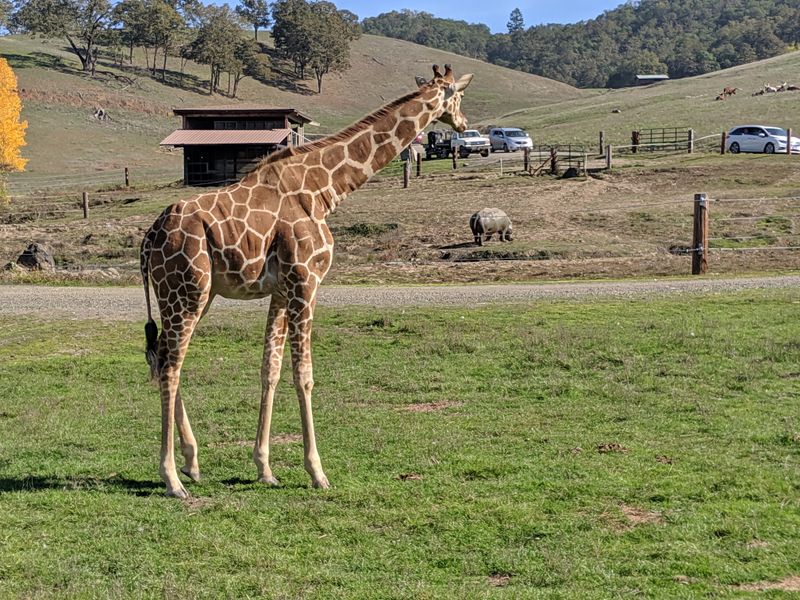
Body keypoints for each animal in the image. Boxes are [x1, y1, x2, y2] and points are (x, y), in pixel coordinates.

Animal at [140, 64, 474, 498]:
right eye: (458, 96)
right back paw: (172, 478)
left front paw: (264, 467)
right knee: (170, 365)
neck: (325, 190)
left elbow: (270, 369)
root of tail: (149, 237)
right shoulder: (306, 280)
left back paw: (192, 463)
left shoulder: (281, 290)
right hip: (187, 291)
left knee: (164, 356)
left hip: (189, 294)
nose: (464, 124)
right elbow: (305, 375)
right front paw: (317, 472)